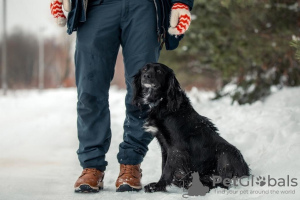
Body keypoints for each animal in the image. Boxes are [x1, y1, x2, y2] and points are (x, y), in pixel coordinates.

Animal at [132, 63, 250, 193]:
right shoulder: (164, 145)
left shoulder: (176, 147)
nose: (146, 76)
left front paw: (158, 186)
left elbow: (167, 168)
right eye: (144, 69)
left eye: (159, 71)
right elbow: (164, 165)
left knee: (224, 181)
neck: (162, 102)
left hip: (226, 154)